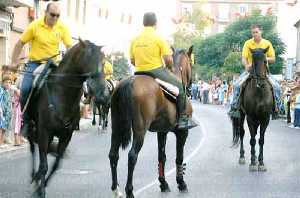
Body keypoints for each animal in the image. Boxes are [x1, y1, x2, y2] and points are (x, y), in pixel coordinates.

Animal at [25, 39, 107, 197]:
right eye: (87, 58)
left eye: (103, 60)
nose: (102, 93)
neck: (62, 94)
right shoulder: (44, 132)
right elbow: (44, 165)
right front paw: (40, 190)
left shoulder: (66, 135)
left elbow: (56, 164)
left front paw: (41, 186)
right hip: (33, 128)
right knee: (32, 147)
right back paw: (33, 176)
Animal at [108, 46, 195, 198]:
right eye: (191, 63)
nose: (191, 86)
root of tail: (128, 82)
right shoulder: (182, 132)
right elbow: (179, 157)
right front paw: (181, 183)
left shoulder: (162, 131)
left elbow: (162, 157)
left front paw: (163, 183)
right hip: (140, 130)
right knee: (132, 156)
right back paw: (129, 191)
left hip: (116, 127)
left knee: (113, 155)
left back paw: (116, 190)